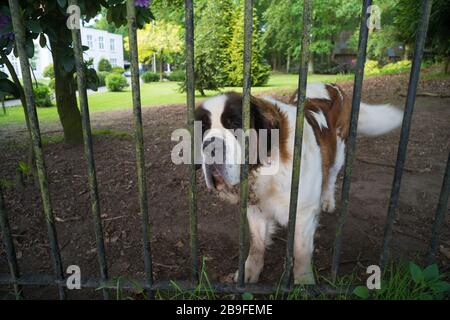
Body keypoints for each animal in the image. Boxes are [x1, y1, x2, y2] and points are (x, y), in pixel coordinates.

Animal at [195, 82, 402, 284]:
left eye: (236, 124)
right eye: (203, 129)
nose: (210, 145)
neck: (269, 167)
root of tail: (331, 84)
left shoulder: (304, 212)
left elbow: (300, 251)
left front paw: (303, 281)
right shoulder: (255, 208)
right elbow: (257, 244)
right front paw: (249, 271)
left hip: (339, 152)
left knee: (331, 176)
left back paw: (327, 200)